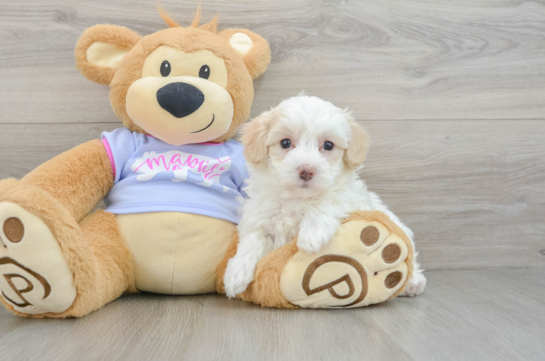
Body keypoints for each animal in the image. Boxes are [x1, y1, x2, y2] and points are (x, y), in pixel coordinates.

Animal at [221, 95, 424, 298]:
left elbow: (330, 199)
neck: (298, 198)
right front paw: (236, 273)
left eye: (328, 145)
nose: (306, 171)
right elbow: (252, 239)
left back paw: (413, 282)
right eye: (285, 143)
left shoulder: (353, 197)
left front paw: (312, 233)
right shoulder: (260, 216)